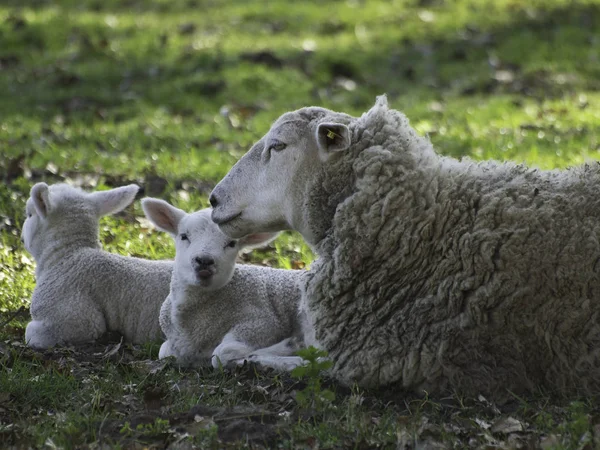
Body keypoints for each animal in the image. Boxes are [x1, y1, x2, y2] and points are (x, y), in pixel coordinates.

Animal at [141, 199, 304, 370]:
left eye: (231, 244)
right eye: (184, 236)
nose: (204, 261)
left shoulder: (262, 322)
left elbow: (221, 353)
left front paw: (288, 353)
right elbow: (164, 351)